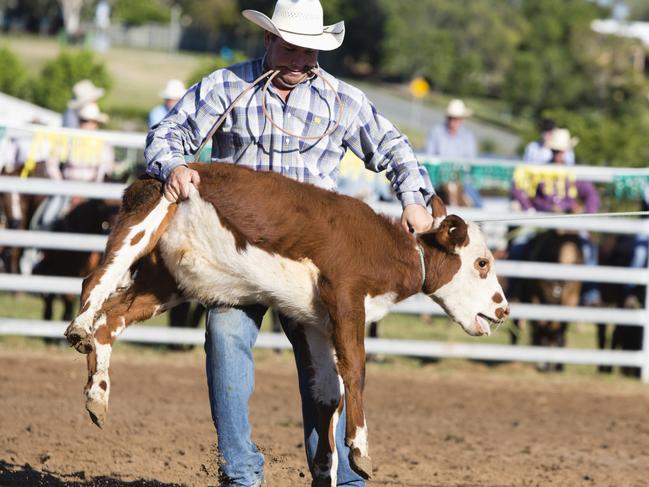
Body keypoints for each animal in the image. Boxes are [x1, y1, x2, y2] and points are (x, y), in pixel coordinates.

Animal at [67, 163, 512, 484]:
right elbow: (356, 370)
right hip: (146, 220)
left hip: (166, 281)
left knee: (112, 320)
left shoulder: (317, 322)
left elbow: (328, 395)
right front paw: (360, 451)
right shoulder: (346, 297)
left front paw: (327, 467)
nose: (503, 310)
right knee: (95, 281)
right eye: (481, 263)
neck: (386, 251)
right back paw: (78, 329)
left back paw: (97, 397)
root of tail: (152, 174)